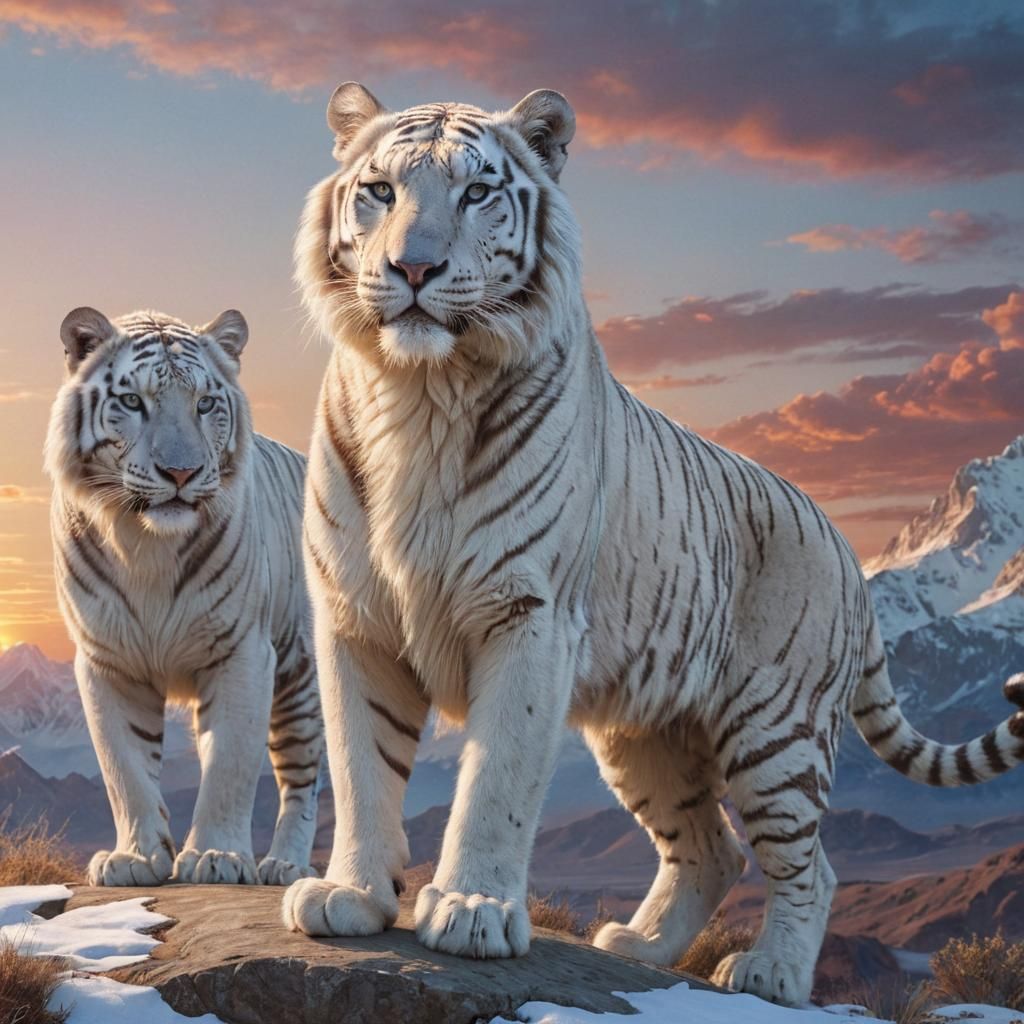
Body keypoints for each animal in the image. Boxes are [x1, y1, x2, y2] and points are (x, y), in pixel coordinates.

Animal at [45, 306, 323, 888]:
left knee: (304, 780)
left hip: (300, 678)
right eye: (133, 402)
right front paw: (134, 858)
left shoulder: (243, 653)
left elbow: (230, 763)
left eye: (205, 404)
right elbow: (124, 767)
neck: (145, 545)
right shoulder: (107, 660)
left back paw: (285, 864)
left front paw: (217, 856)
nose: (181, 472)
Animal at [280, 82, 1024, 1005]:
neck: (418, 390)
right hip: (648, 736)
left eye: (478, 192)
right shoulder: (356, 618)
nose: (413, 270)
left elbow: (495, 778)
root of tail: (848, 552)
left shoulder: (529, 615)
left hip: (777, 733)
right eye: (379, 191)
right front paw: (350, 894)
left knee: (809, 866)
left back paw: (771, 973)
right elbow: (362, 767)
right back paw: (637, 946)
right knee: (712, 849)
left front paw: (472, 910)